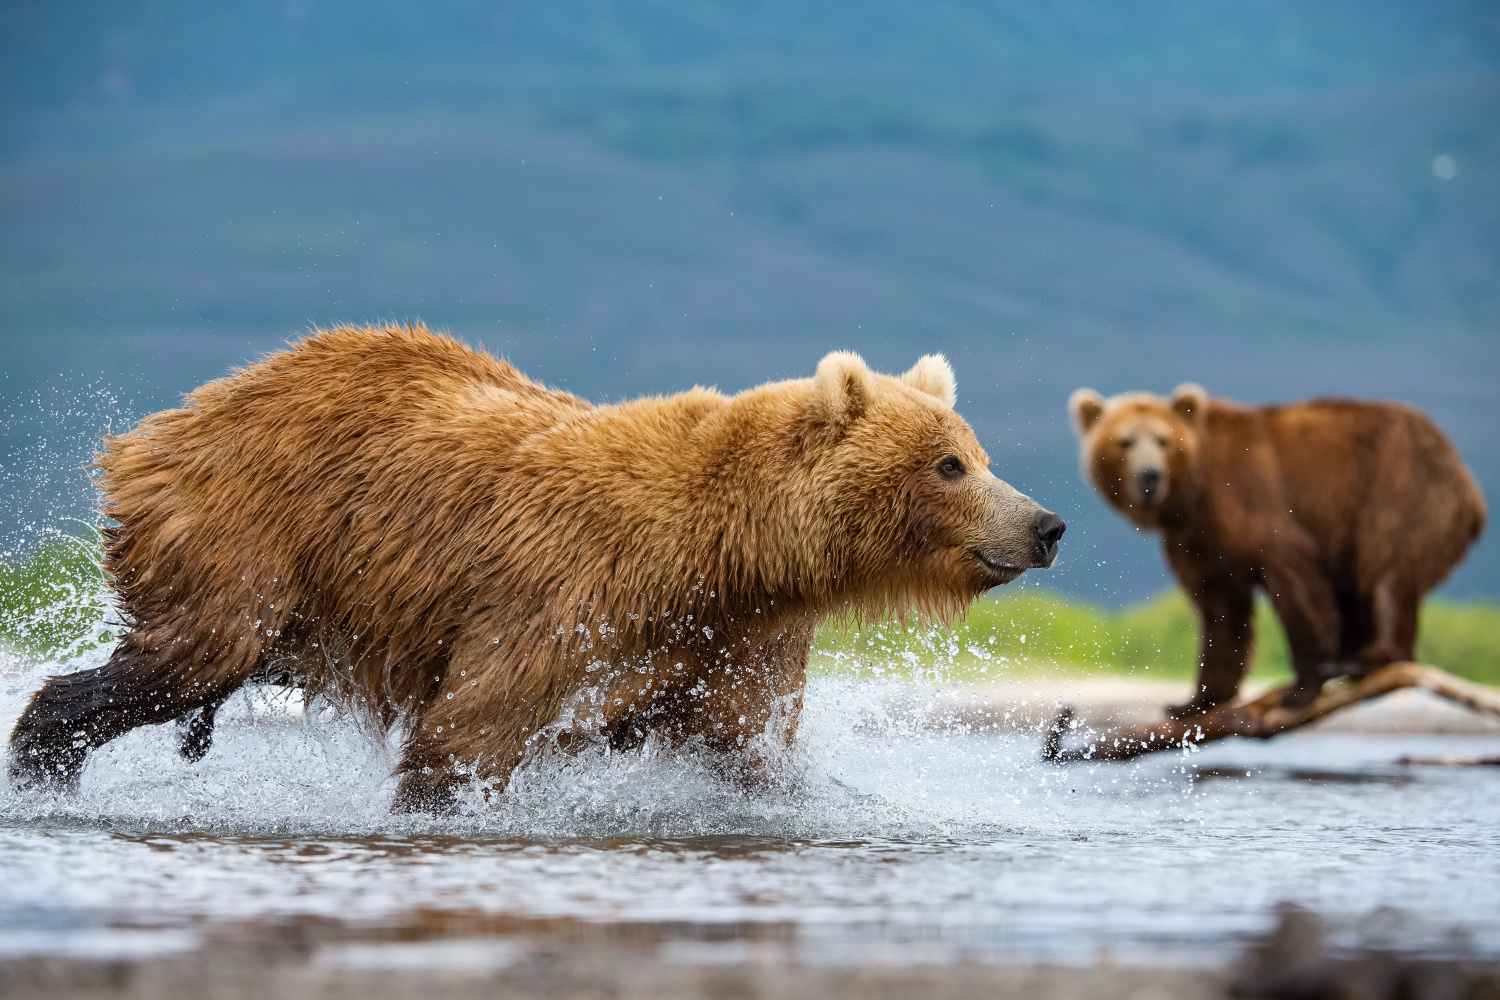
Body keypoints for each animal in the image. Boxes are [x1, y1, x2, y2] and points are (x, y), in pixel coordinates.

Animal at [14, 325, 1068, 809]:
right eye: (950, 464)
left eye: (975, 451)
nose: (1047, 523)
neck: (725, 556)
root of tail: (180, 415)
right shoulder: (564, 596)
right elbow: (470, 731)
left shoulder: (735, 643)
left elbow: (749, 755)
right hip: (251, 531)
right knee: (183, 658)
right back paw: (43, 762)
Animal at [1074, 386, 1482, 719]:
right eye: (1124, 442)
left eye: (1162, 440)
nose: (1149, 477)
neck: (1194, 494)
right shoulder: (1199, 541)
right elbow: (1220, 609)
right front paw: (1194, 701)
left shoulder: (1250, 499)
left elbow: (1294, 580)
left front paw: (1302, 688)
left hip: (1399, 483)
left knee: (1387, 565)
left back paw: (1369, 658)